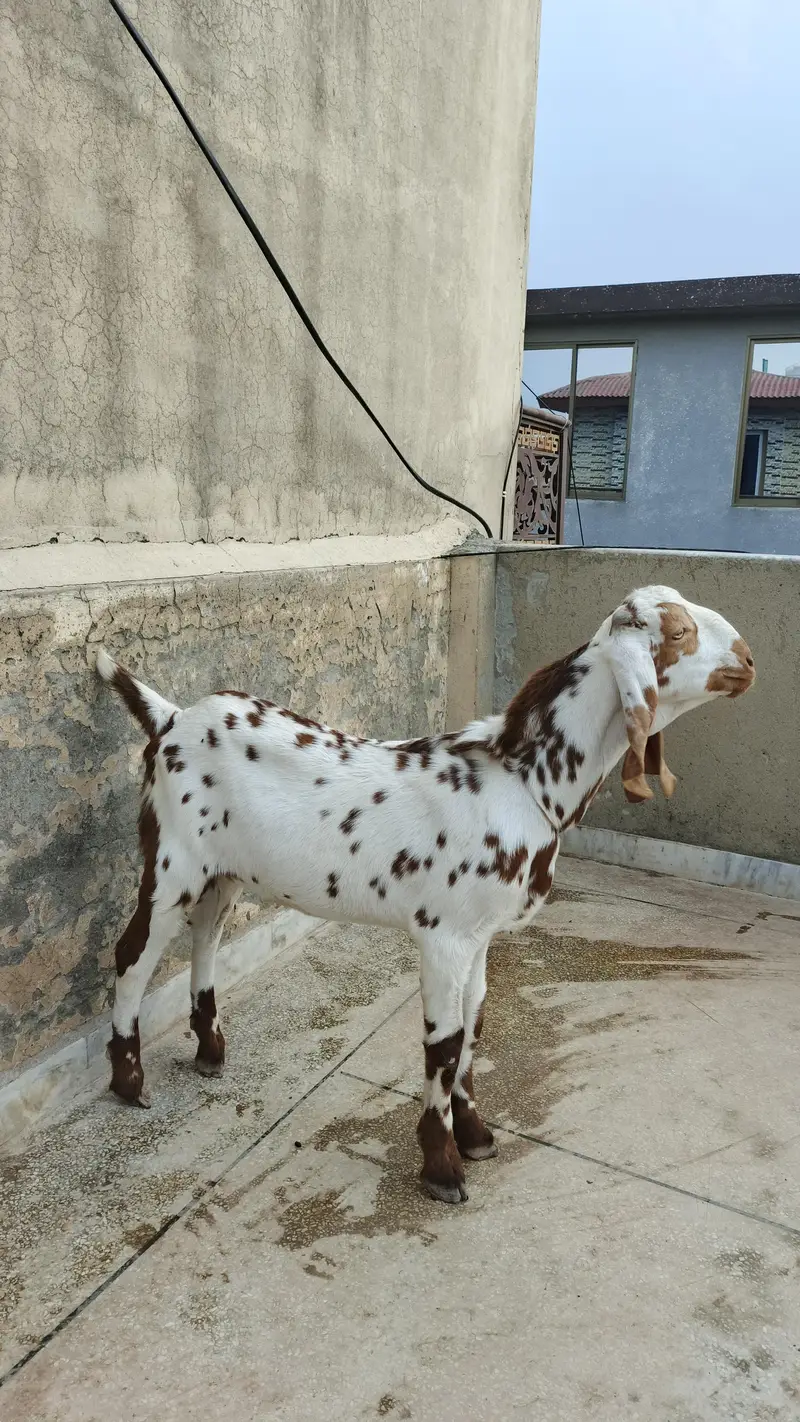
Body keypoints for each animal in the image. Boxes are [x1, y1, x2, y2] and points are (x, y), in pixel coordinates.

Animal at [96, 584, 754, 1203]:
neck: (521, 780)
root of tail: (171, 718)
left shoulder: (479, 938)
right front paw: (442, 1167)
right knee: (133, 955)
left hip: (224, 873)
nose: (748, 660)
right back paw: (129, 1082)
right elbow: (444, 1043)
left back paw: (210, 1050)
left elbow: (475, 1022)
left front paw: (475, 1134)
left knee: (205, 938)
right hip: (172, 863)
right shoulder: (443, 939)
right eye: (679, 632)